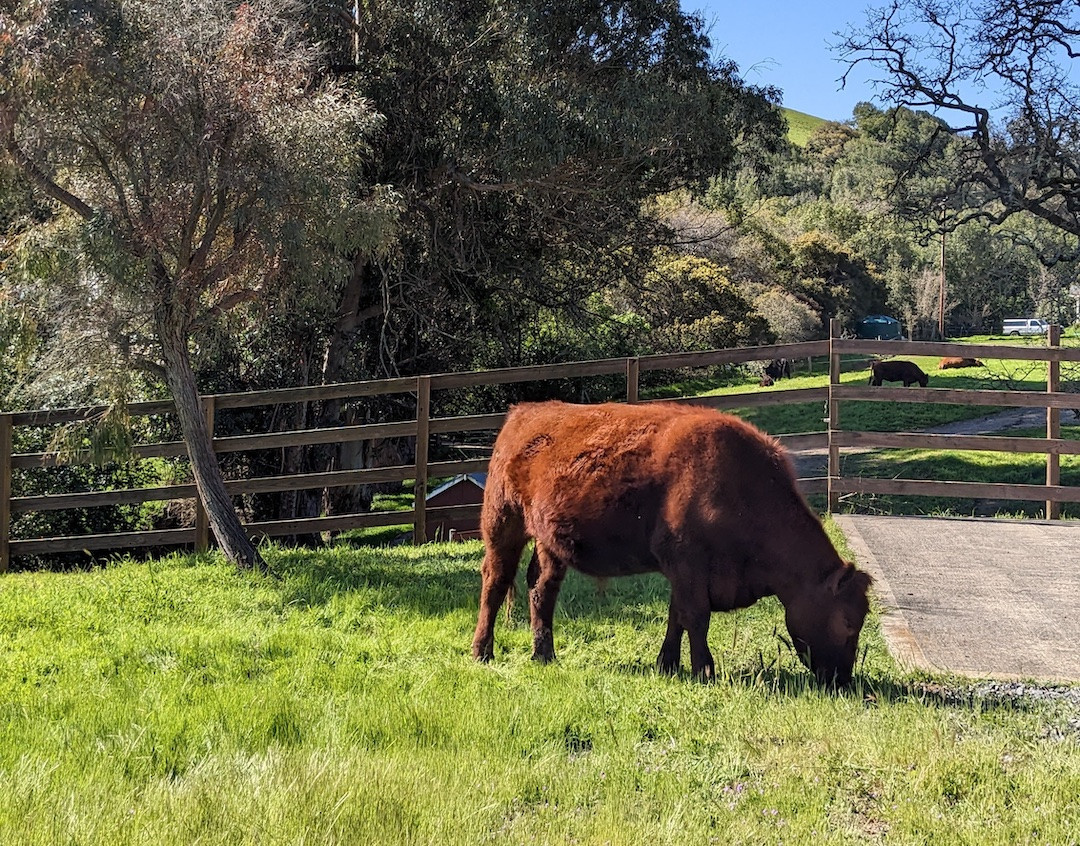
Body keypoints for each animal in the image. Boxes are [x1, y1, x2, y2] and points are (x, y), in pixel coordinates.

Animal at [471, 401, 873, 686]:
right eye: (848, 621)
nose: (842, 680)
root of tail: (526, 411)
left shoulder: (683, 572)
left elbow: (676, 615)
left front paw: (667, 664)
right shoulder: (686, 562)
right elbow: (695, 615)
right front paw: (704, 671)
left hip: (549, 541)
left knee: (542, 589)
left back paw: (544, 655)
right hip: (502, 522)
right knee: (495, 582)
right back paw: (482, 652)